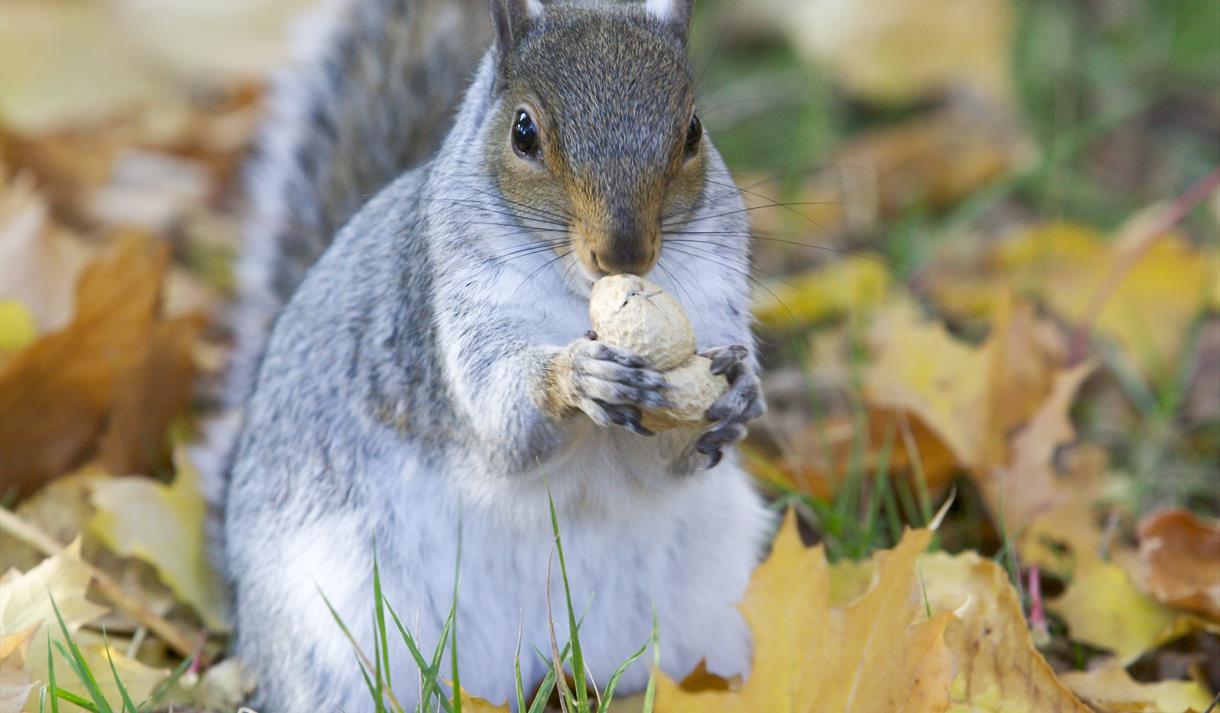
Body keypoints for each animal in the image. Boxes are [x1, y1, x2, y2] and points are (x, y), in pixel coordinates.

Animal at [218, 0, 766, 708]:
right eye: (523, 132)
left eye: (693, 130)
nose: (624, 254)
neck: (579, 300)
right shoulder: (452, 321)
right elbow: (505, 424)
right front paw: (573, 376)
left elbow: (666, 460)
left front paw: (737, 396)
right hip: (336, 632)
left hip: (699, 606)